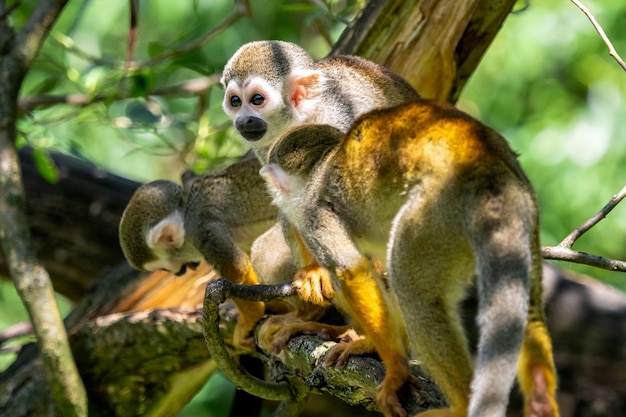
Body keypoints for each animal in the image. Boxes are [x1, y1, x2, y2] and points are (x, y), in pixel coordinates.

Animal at [117, 154, 272, 350]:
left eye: (164, 268)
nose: (179, 272)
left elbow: (236, 269)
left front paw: (250, 320)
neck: (186, 210)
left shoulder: (201, 228)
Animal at [258, 102, 556, 414]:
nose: (276, 199)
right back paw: (540, 397)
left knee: (414, 292)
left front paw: (396, 368)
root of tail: (487, 166)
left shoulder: (313, 213)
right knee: (529, 305)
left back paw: (461, 405)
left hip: (435, 213)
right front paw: (370, 344)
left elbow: (351, 269)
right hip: (523, 208)